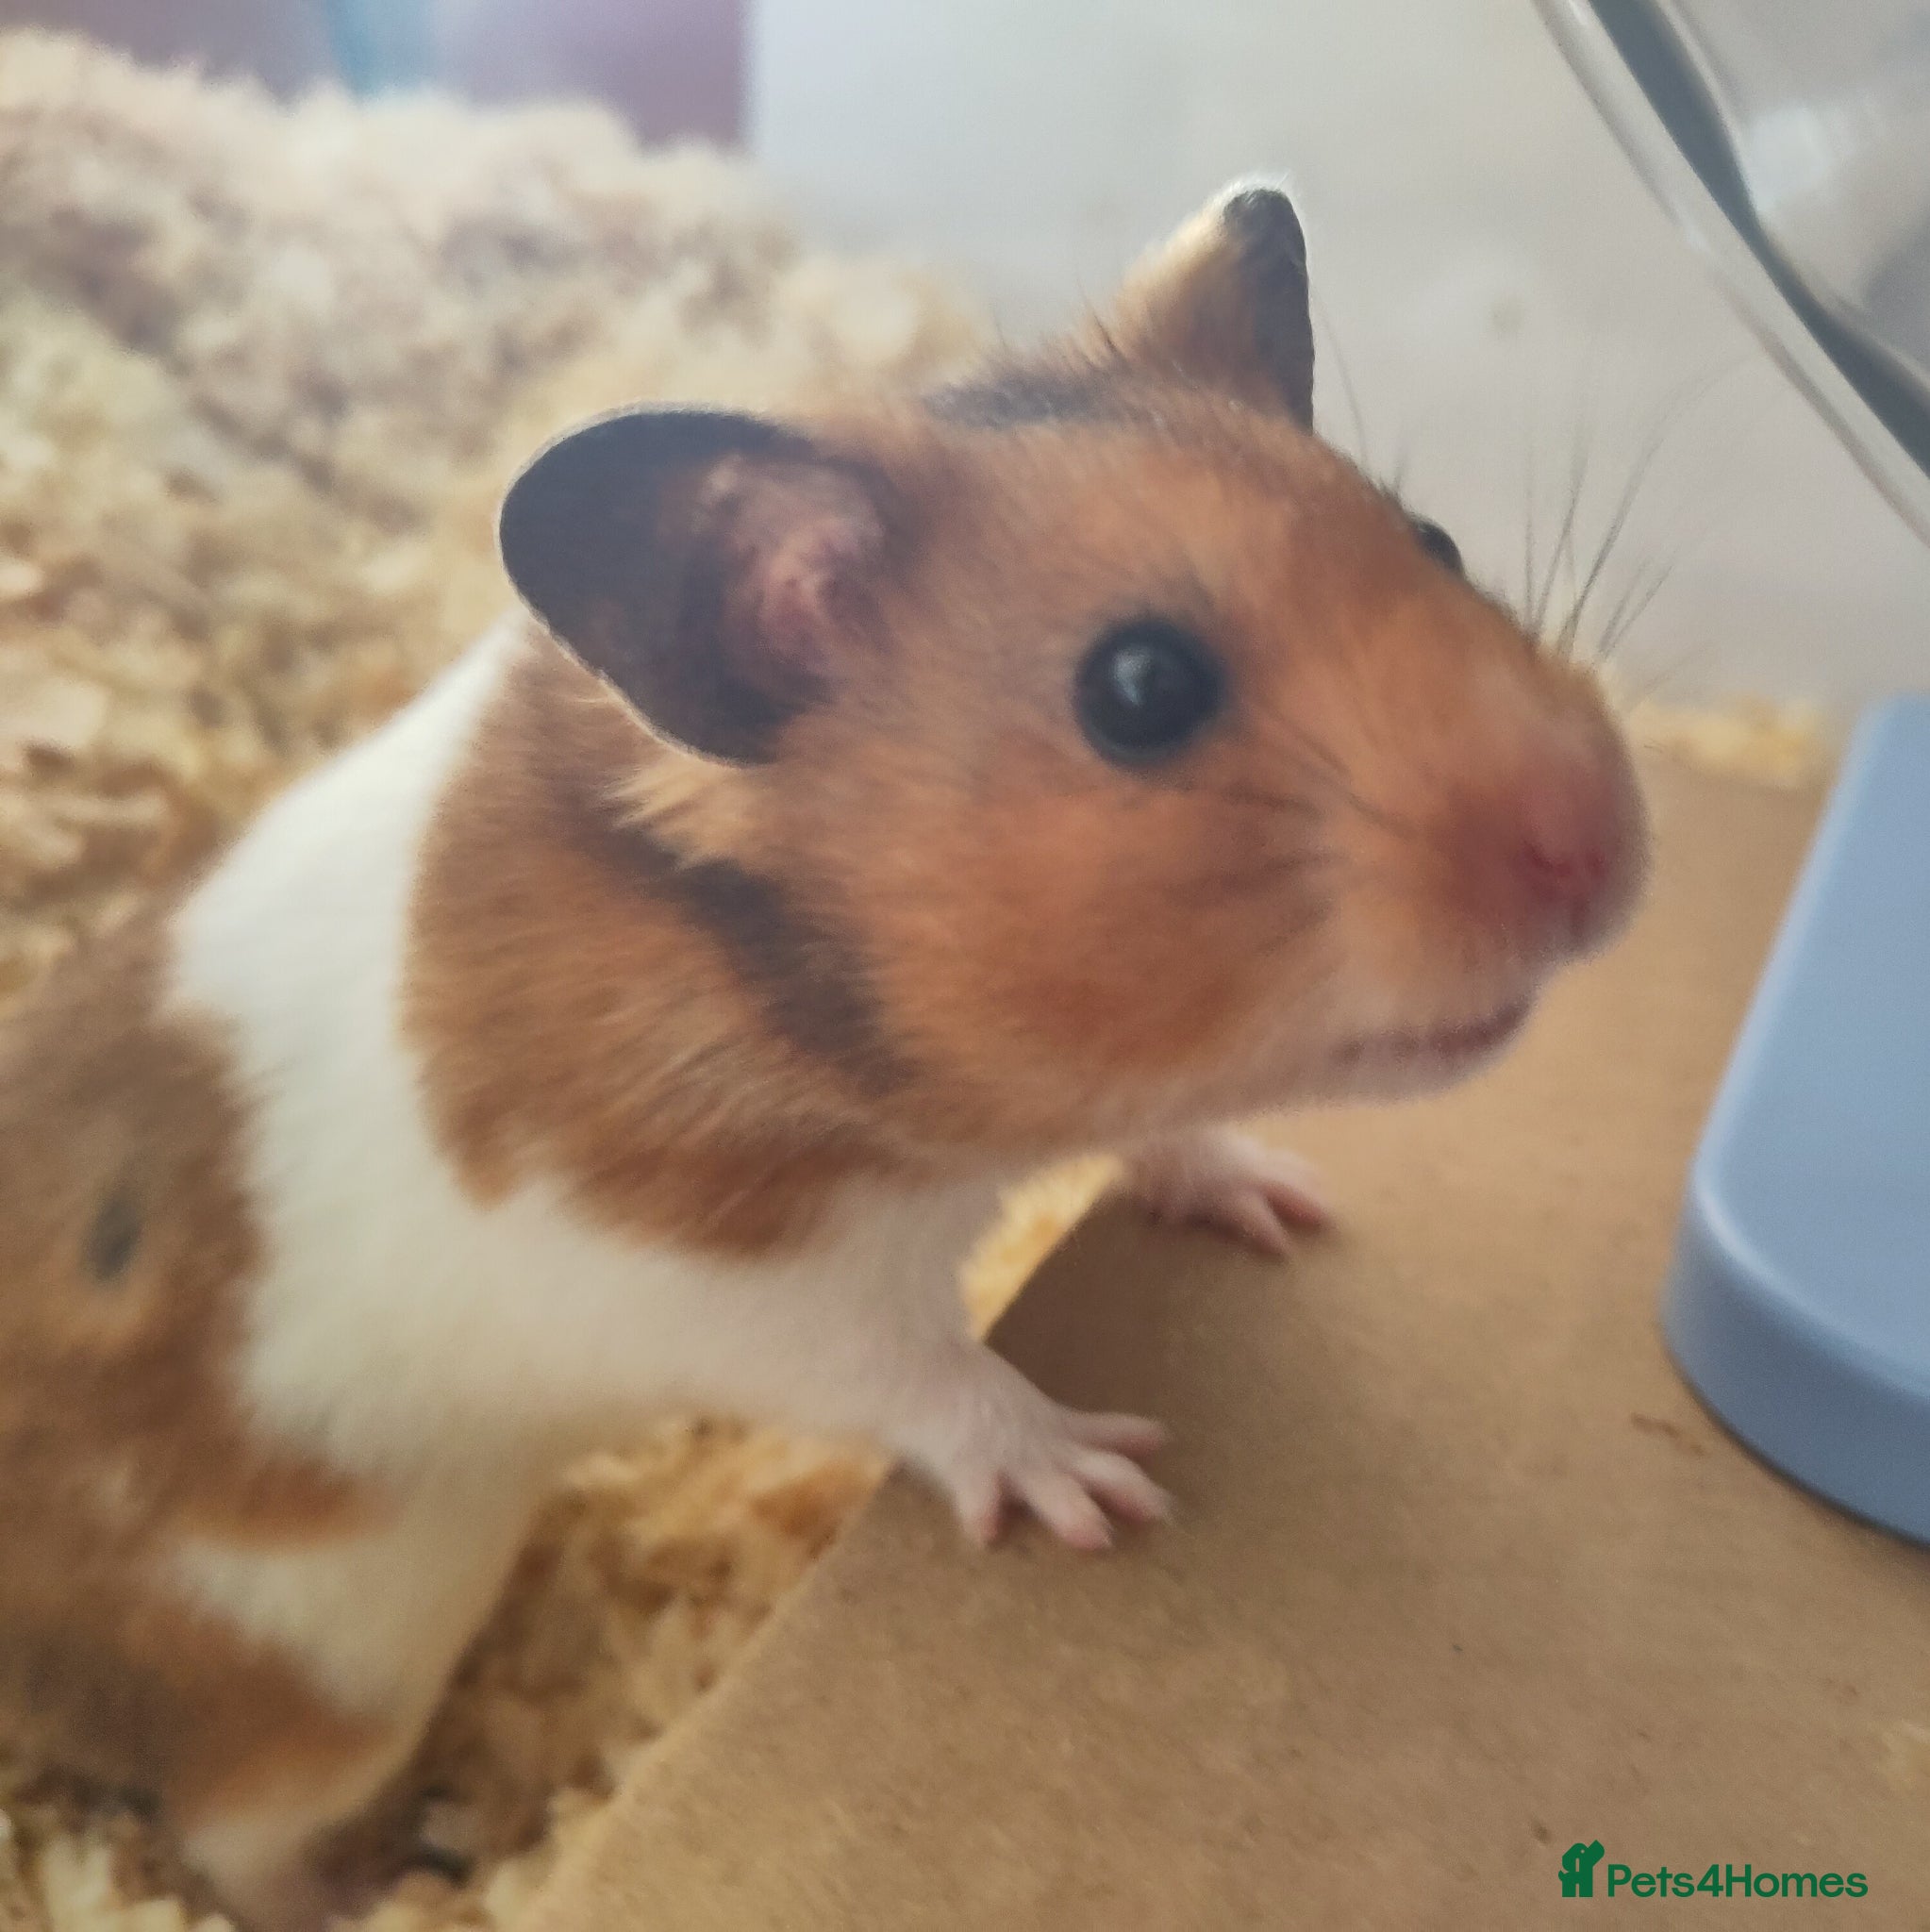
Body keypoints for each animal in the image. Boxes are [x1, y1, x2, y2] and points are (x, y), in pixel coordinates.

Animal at [0, 181, 1646, 1929]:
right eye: (1138, 689)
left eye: (1435, 542)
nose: (1608, 845)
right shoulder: (707, 1277)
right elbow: (924, 1371)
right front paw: (1100, 1486)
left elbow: (1162, 1133)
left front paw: (1280, 1198)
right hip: (329, 1660)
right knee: (230, 1834)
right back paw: (389, 1874)